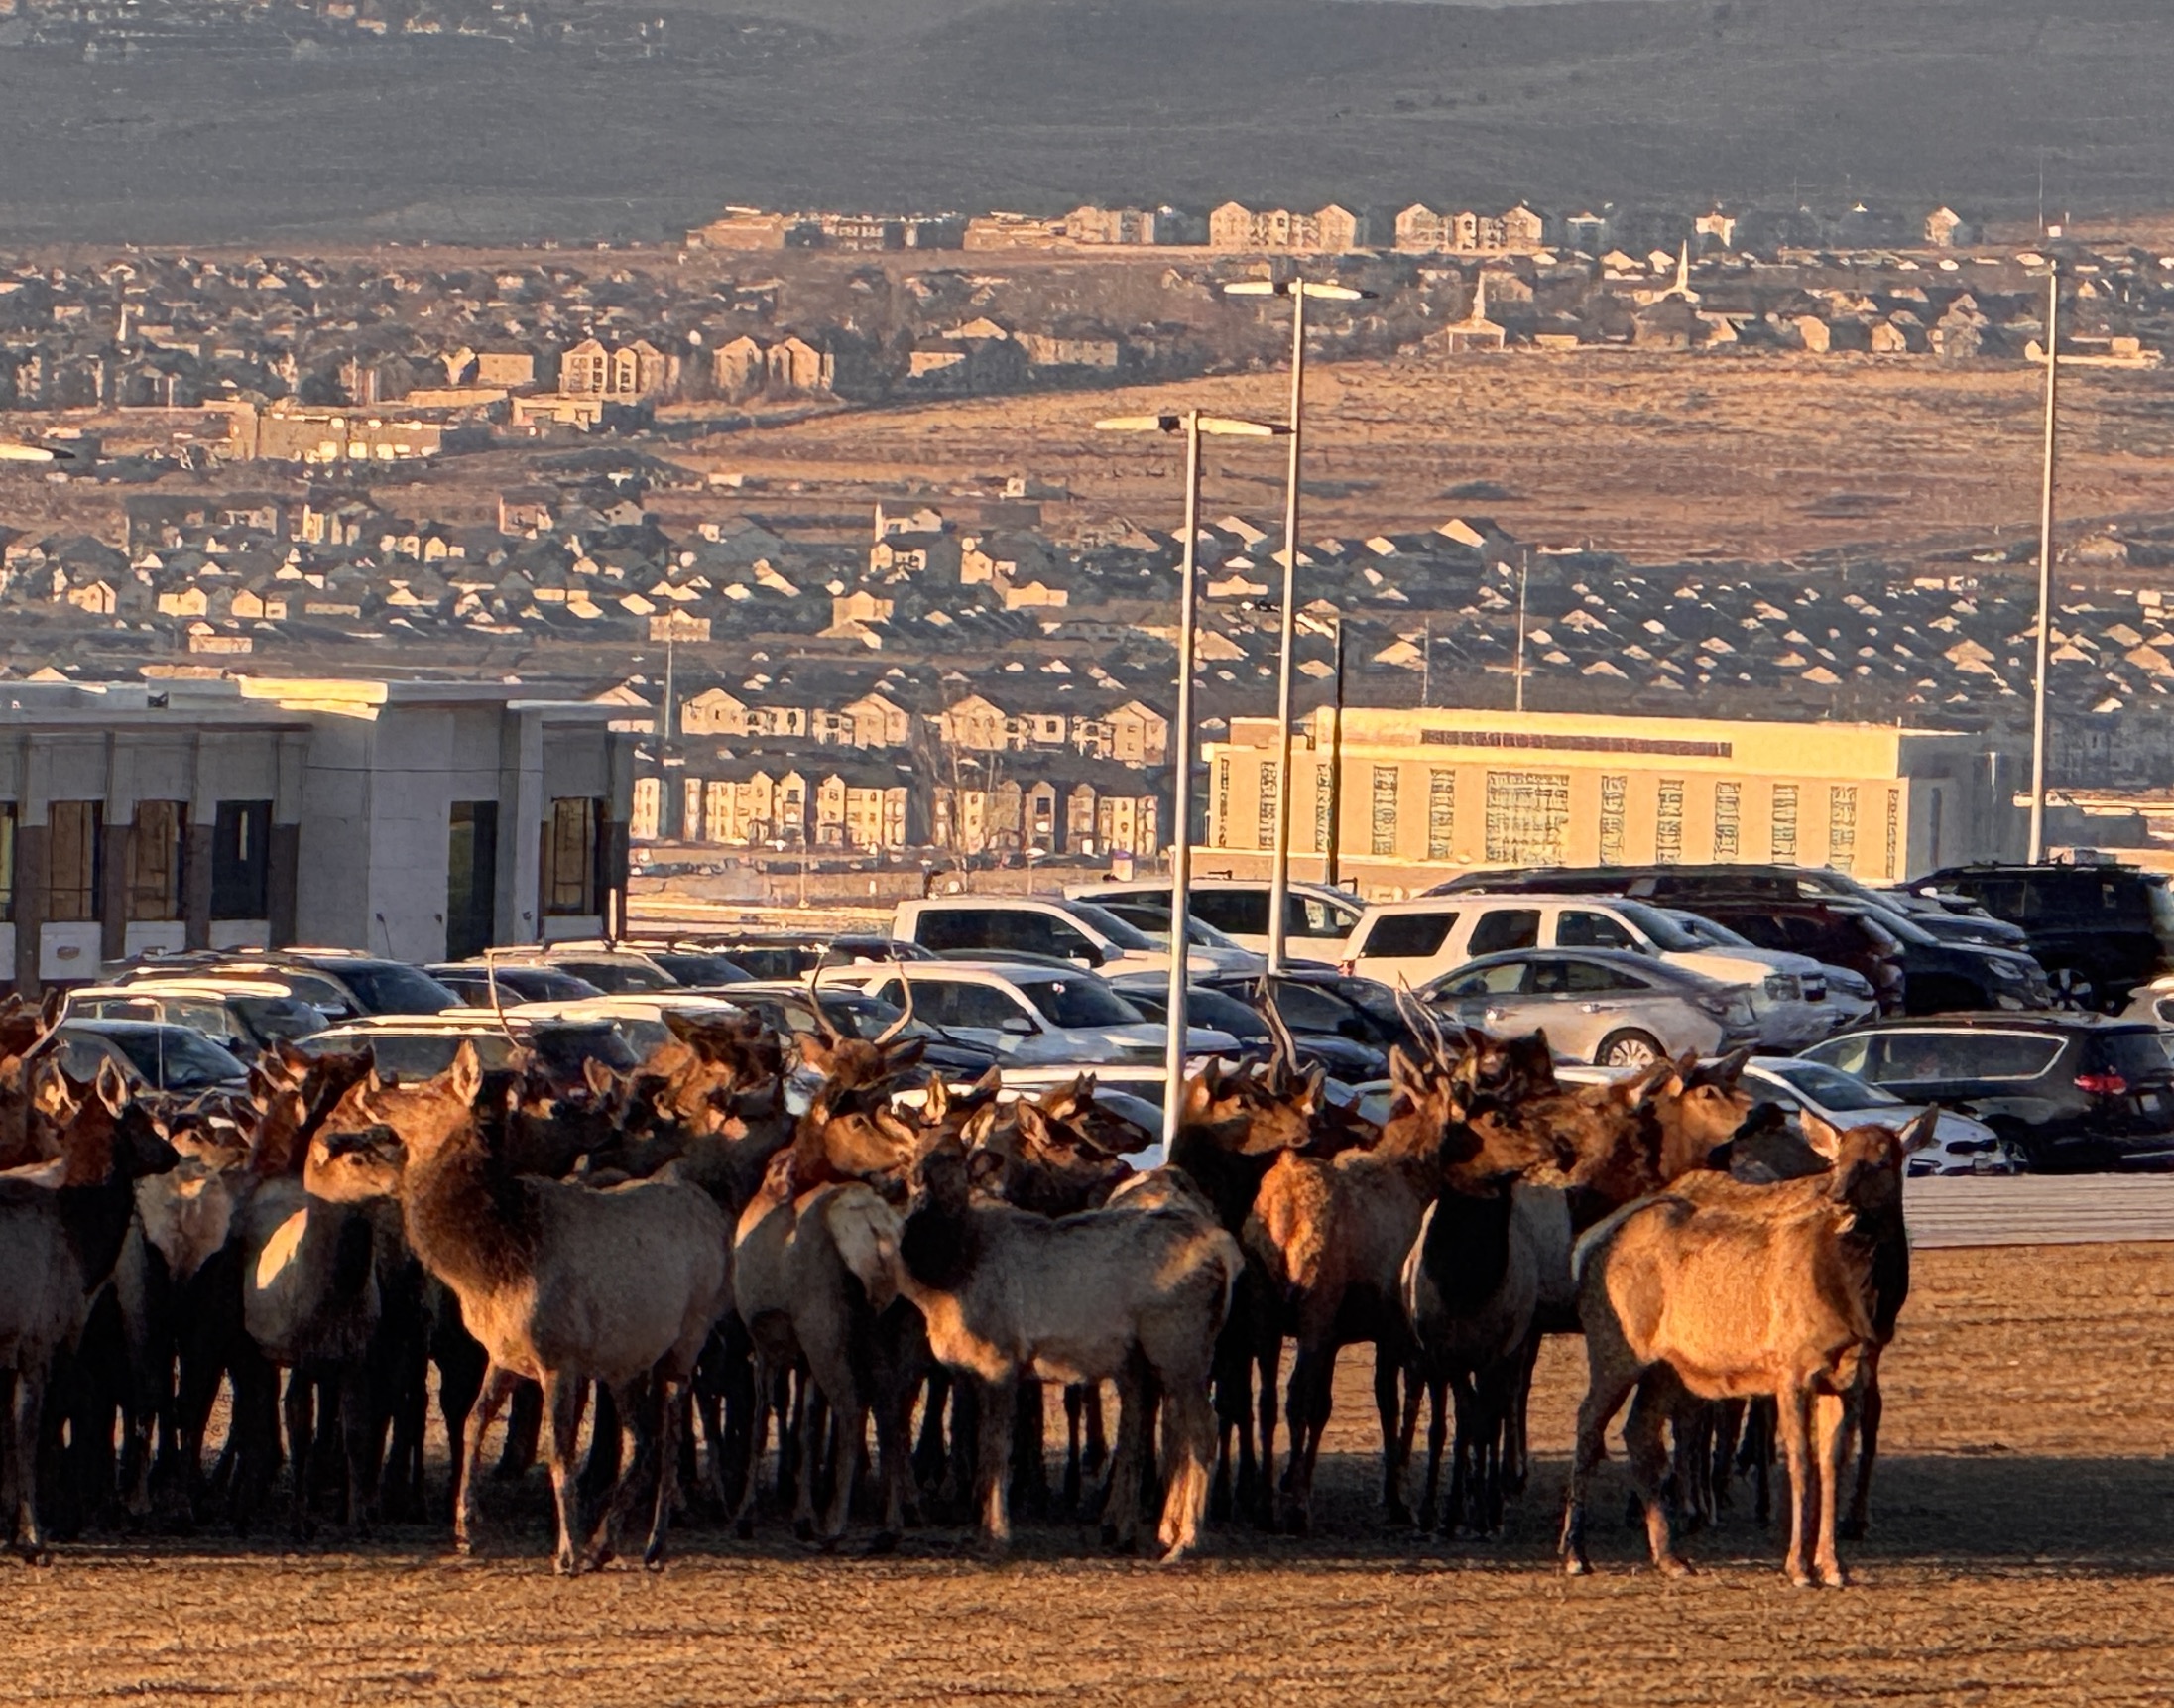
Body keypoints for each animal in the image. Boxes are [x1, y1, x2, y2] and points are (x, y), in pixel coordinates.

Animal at [1565, 1103, 1939, 1581]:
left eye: (1882, 1160)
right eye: (1838, 1159)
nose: (1837, 1196)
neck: (1860, 1306)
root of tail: (1588, 1244)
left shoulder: (1849, 1374)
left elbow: (1832, 1460)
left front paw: (1834, 1566)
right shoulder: (1791, 1365)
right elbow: (1799, 1460)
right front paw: (1798, 1566)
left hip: (1668, 1366)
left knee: (1639, 1430)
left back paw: (1669, 1556)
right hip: (1613, 1343)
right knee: (1588, 1422)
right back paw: (1576, 1553)